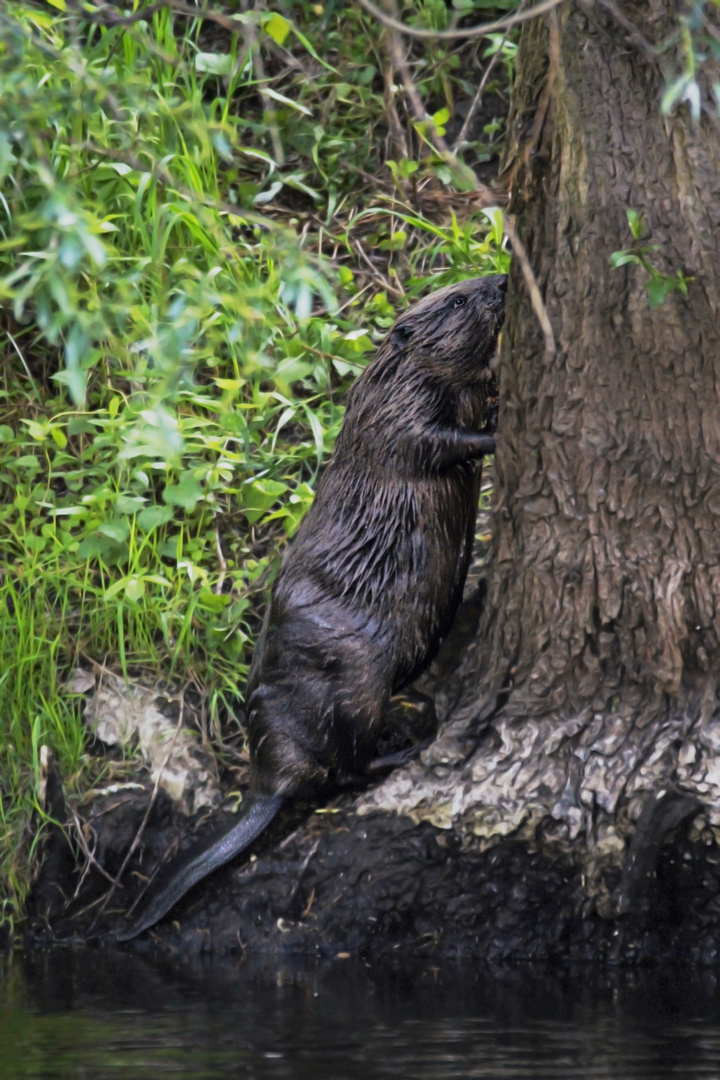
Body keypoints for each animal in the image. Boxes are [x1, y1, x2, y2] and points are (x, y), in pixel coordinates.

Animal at [118, 272, 507, 937]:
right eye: (457, 299)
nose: (505, 280)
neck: (391, 377)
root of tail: (268, 784)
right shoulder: (394, 421)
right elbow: (436, 442)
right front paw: (502, 426)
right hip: (355, 684)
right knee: (346, 768)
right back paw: (406, 747)